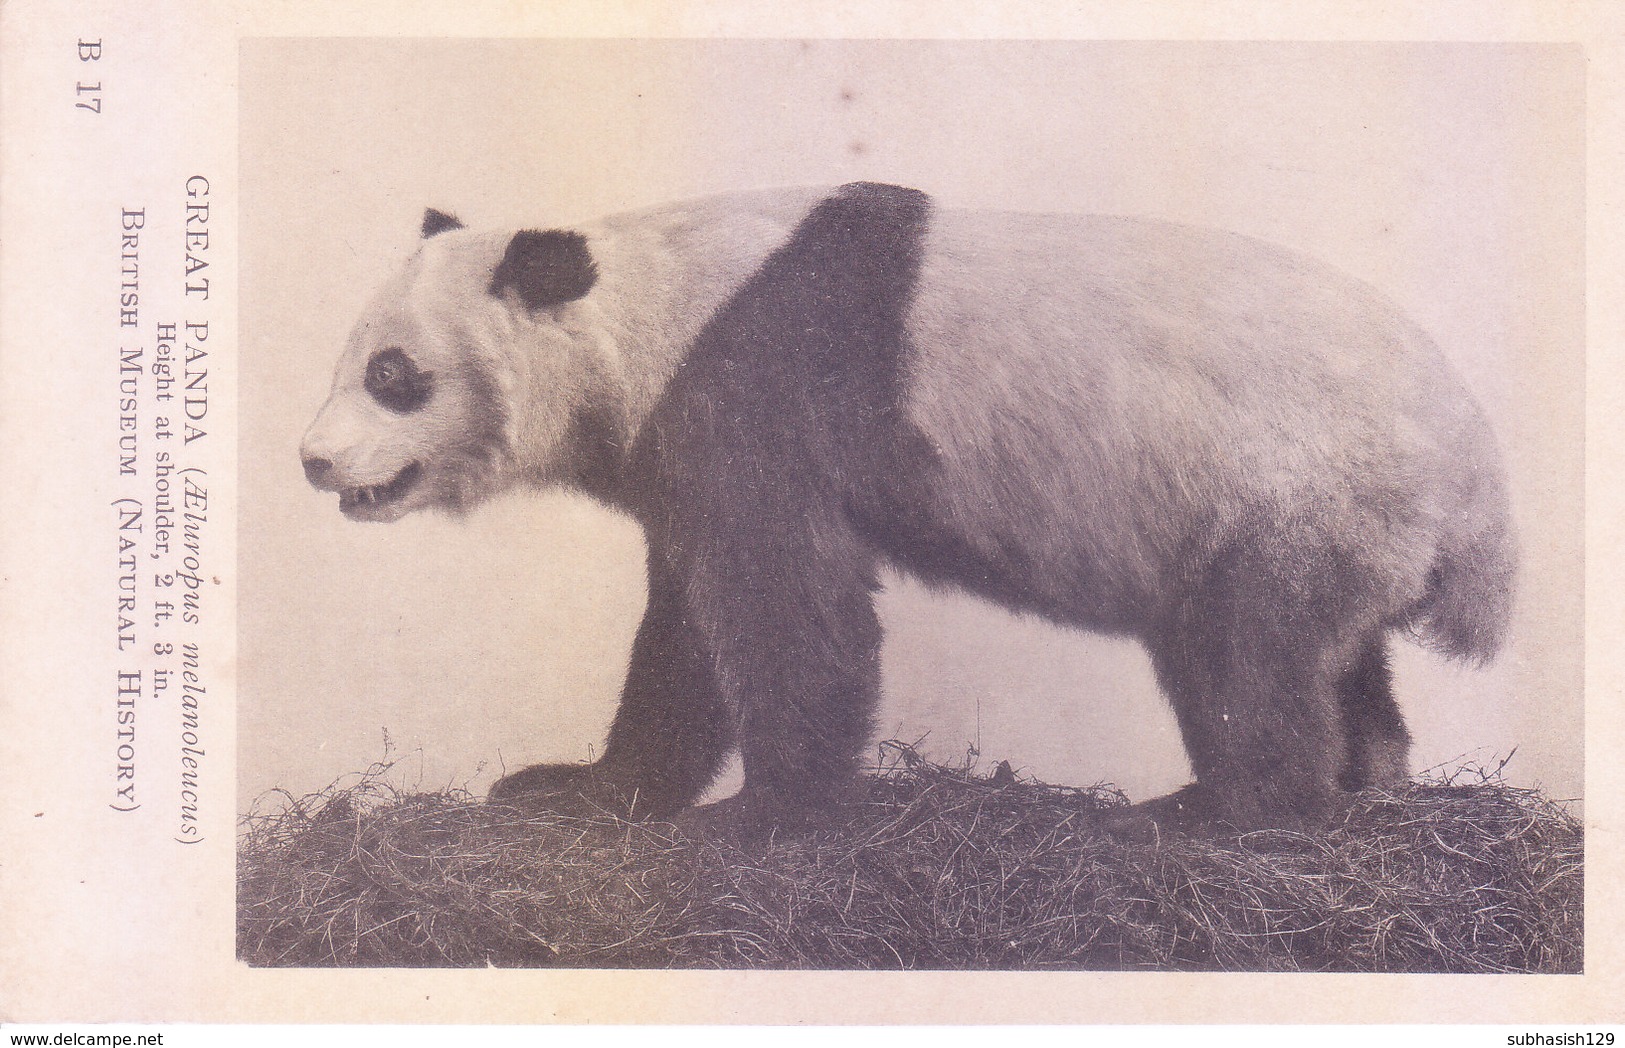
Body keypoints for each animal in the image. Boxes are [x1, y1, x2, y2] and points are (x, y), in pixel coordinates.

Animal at [302, 181, 1508, 831]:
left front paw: (764, 817)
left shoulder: (758, 385)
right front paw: (574, 789)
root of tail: (1479, 493)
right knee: (1331, 655)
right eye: (353, 359)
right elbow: (686, 629)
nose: (313, 463)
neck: (641, 308)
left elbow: (787, 608)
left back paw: (1227, 814)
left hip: (1287, 481)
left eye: (394, 376)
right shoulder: (687, 444)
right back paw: (1365, 784)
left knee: (1245, 655)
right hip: (1343, 522)